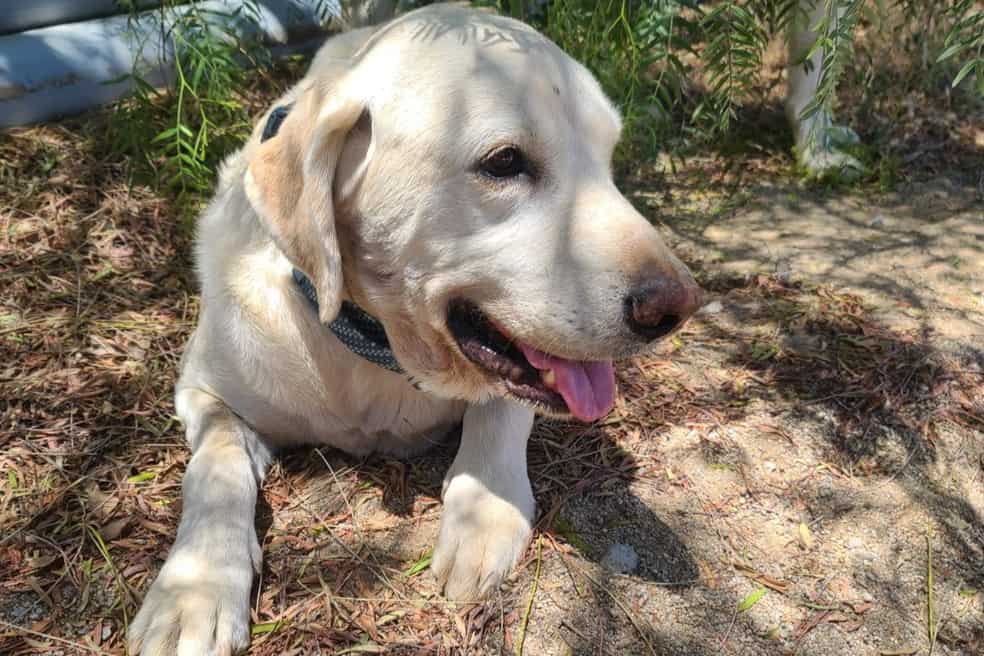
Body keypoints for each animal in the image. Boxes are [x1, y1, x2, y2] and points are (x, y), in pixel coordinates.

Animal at [129, 3, 700, 652]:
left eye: (608, 161)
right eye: (504, 162)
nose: (679, 307)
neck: (374, 347)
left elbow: (499, 411)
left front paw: (483, 513)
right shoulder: (204, 390)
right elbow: (215, 466)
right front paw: (193, 590)